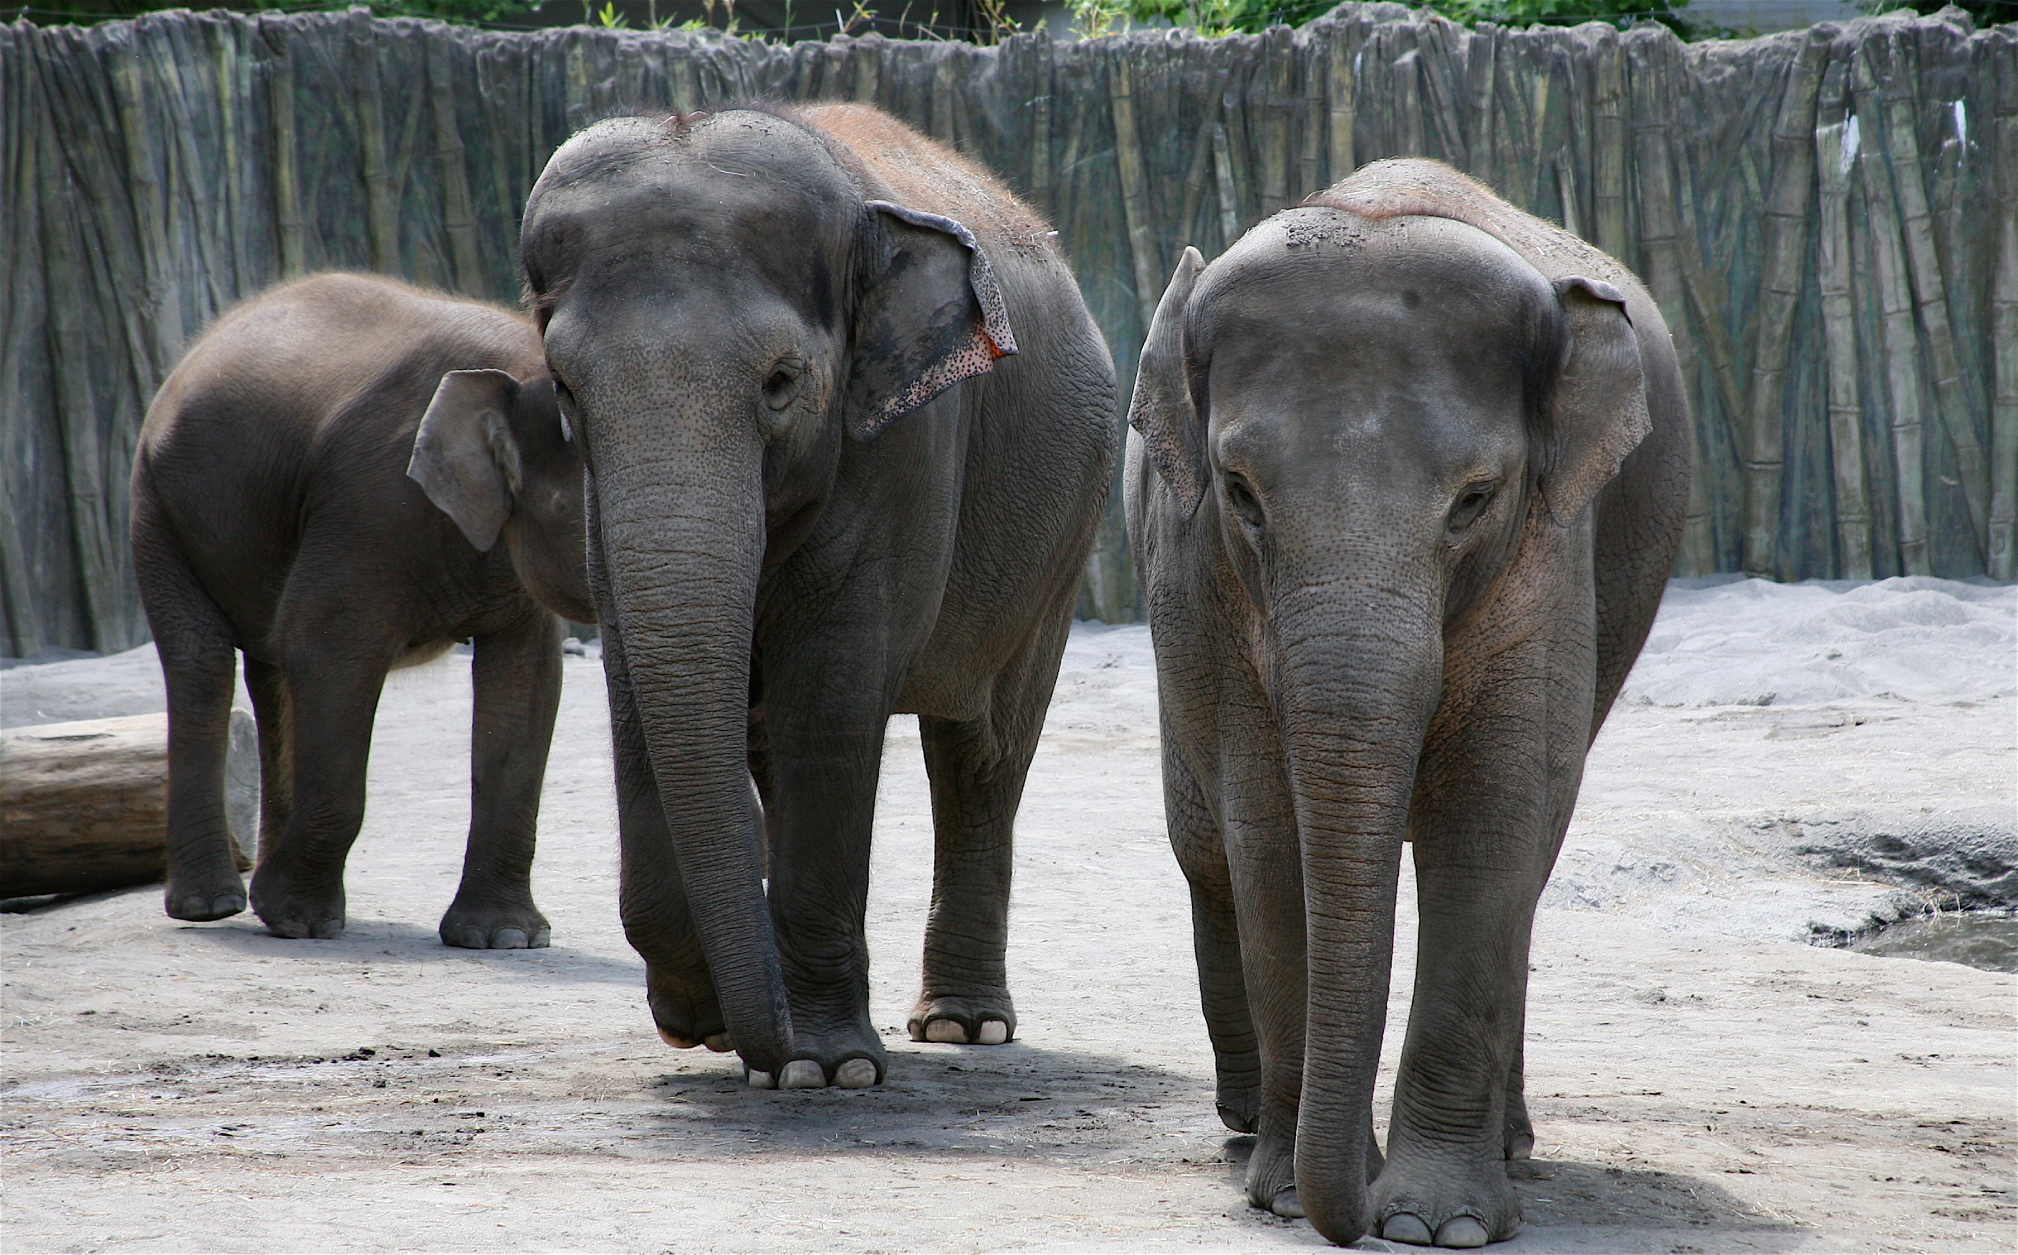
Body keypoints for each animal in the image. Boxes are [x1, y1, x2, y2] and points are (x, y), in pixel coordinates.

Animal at [128, 270, 589, 948]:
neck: (516, 366)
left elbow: (527, 680)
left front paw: (504, 939)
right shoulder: (370, 507)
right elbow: (327, 648)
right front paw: (297, 919)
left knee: (271, 668)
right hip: (157, 507)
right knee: (203, 661)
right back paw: (213, 907)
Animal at [520, 105, 1113, 1089]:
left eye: (781, 382)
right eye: (564, 389)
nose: (752, 1037)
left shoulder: (907, 447)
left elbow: (831, 706)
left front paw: (824, 1067)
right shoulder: (603, 506)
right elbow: (641, 690)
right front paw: (714, 1021)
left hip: (1068, 535)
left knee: (983, 752)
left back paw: (963, 1025)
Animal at [1130, 159, 1695, 1250]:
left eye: (1474, 498)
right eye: (1238, 491)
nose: (1343, 1211)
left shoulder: (1546, 560)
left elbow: (1492, 820)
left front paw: (1438, 1222)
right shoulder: (1202, 578)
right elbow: (1267, 833)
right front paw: (1285, 1194)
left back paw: (1509, 1144)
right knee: (1205, 848)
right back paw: (1247, 1124)